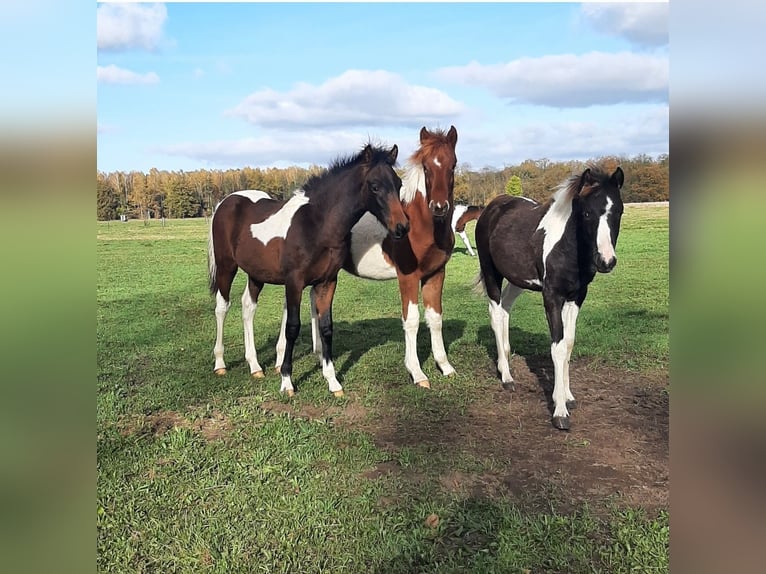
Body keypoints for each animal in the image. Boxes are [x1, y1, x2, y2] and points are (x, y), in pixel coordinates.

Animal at [207, 143, 412, 400]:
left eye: (398, 184)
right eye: (375, 186)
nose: (402, 227)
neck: (317, 225)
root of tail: (225, 202)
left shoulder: (327, 282)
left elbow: (326, 327)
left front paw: (333, 381)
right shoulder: (294, 282)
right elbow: (292, 327)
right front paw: (287, 381)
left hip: (256, 274)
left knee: (248, 307)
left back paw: (255, 366)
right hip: (227, 267)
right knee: (222, 307)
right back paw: (220, 363)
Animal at [274, 125, 460, 388]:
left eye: (453, 165)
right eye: (426, 167)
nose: (439, 207)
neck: (422, 225)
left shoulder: (436, 274)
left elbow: (435, 319)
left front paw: (445, 366)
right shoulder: (408, 277)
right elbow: (412, 320)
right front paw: (417, 373)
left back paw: (317, 356)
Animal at [476, 164, 628, 430]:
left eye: (618, 211)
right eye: (587, 213)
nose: (606, 261)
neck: (567, 248)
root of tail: (492, 207)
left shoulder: (576, 297)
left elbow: (568, 344)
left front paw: (568, 397)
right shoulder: (552, 297)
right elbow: (557, 347)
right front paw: (560, 412)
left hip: (517, 280)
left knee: (505, 309)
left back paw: (505, 360)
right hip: (491, 272)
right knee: (495, 313)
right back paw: (506, 377)